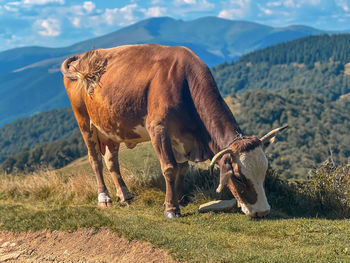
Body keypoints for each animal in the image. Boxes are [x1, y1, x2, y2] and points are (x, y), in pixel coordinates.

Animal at [60, 44, 288, 219]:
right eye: (239, 177)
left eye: (264, 172)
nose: (262, 211)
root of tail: (83, 56)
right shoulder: (158, 128)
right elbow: (169, 168)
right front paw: (171, 209)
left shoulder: (181, 138)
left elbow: (182, 168)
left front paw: (178, 200)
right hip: (84, 122)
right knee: (95, 160)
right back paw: (104, 198)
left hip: (110, 127)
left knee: (111, 161)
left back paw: (124, 195)